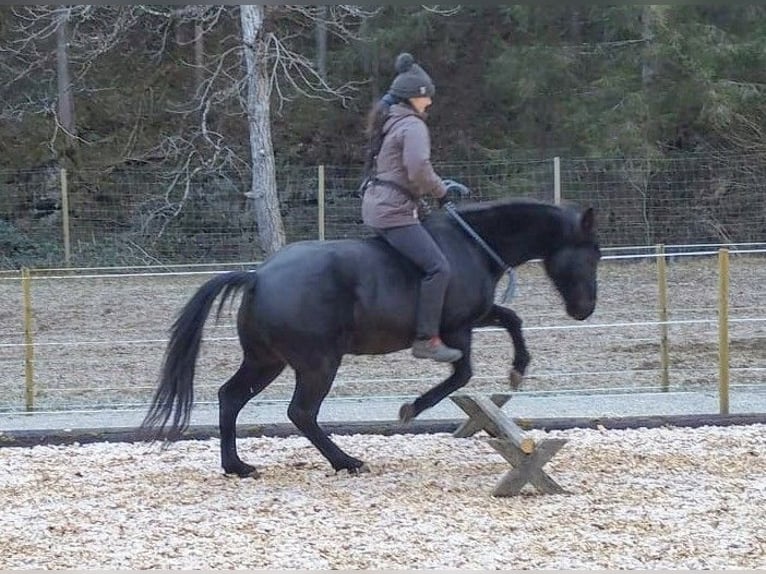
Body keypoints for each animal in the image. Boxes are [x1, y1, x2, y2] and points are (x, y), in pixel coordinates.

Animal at [141, 198, 600, 477]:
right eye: (591, 255)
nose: (585, 310)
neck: (471, 247)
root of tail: (258, 276)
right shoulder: (456, 330)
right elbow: (463, 373)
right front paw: (412, 408)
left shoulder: (476, 318)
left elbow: (512, 320)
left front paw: (518, 369)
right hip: (317, 363)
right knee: (301, 412)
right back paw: (345, 461)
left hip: (266, 361)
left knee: (231, 397)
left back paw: (237, 466)